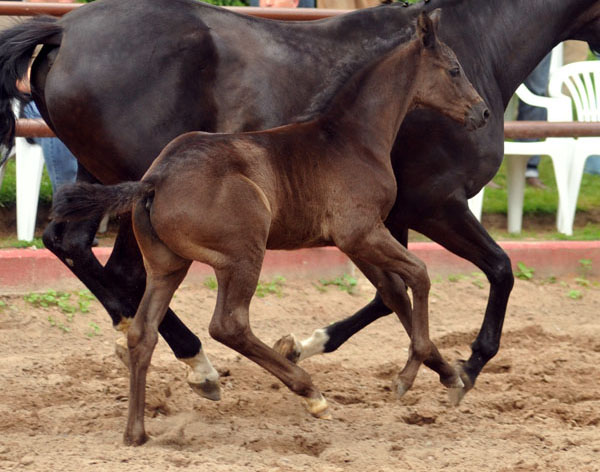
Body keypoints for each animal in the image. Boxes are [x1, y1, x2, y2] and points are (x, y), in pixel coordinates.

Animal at [52, 12, 488, 446]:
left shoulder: (354, 242)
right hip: (243, 253)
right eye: (454, 69)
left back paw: (136, 432)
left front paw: (451, 375)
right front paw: (410, 376)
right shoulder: (361, 232)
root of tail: (154, 179)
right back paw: (310, 392)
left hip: (168, 265)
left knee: (143, 332)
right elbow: (420, 275)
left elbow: (394, 293)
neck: (352, 139)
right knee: (229, 325)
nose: (482, 113)